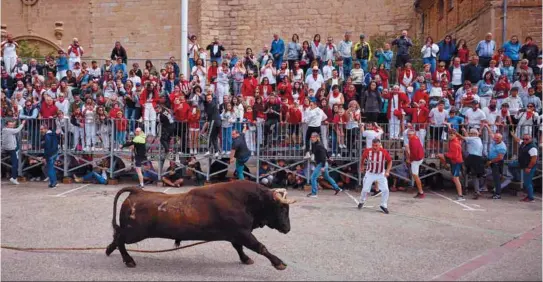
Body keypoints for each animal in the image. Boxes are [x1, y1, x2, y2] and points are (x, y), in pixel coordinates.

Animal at [105, 180, 298, 270]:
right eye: (282, 208)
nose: (287, 228)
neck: (245, 200)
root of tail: (137, 191)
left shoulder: (236, 234)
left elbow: (239, 247)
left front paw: (245, 259)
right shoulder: (242, 233)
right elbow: (260, 247)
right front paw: (279, 263)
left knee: (117, 237)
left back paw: (110, 250)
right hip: (135, 233)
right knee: (120, 238)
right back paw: (128, 260)